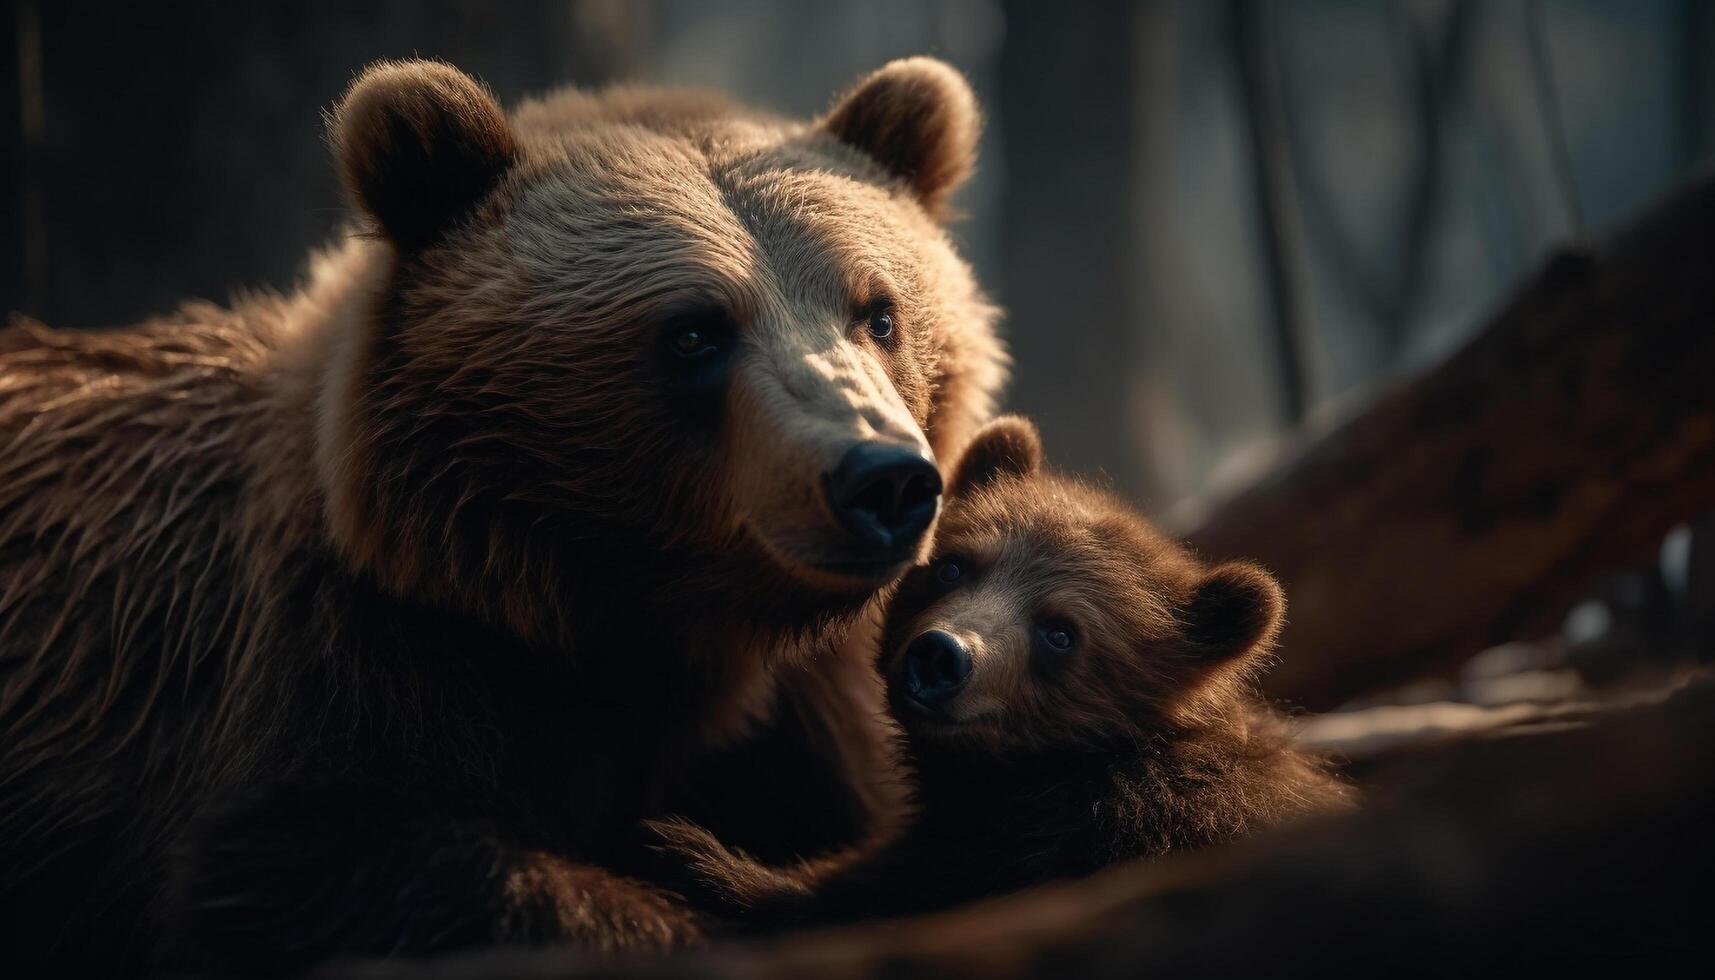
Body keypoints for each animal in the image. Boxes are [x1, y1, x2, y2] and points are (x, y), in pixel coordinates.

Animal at [0, 59, 1001, 974]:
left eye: (877, 312)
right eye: (692, 332)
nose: (881, 478)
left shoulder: (800, 721)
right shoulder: (344, 669)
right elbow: (314, 861)